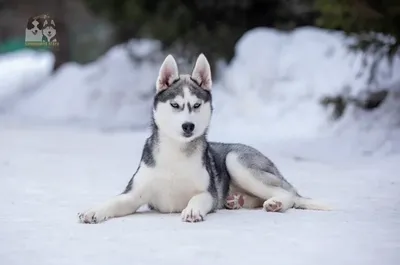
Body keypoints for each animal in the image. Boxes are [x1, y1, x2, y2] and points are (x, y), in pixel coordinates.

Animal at [77, 52, 328, 222]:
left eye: (196, 105)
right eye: (175, 105)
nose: (188, 126)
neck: (176, 153)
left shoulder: (209, 193)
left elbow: (197, 198)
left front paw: (192, 209)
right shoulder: (134, 194)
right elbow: (114, 201)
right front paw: (94, 210)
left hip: (236, 161)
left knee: (289, 194)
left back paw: (275, 203)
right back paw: (237, 201)